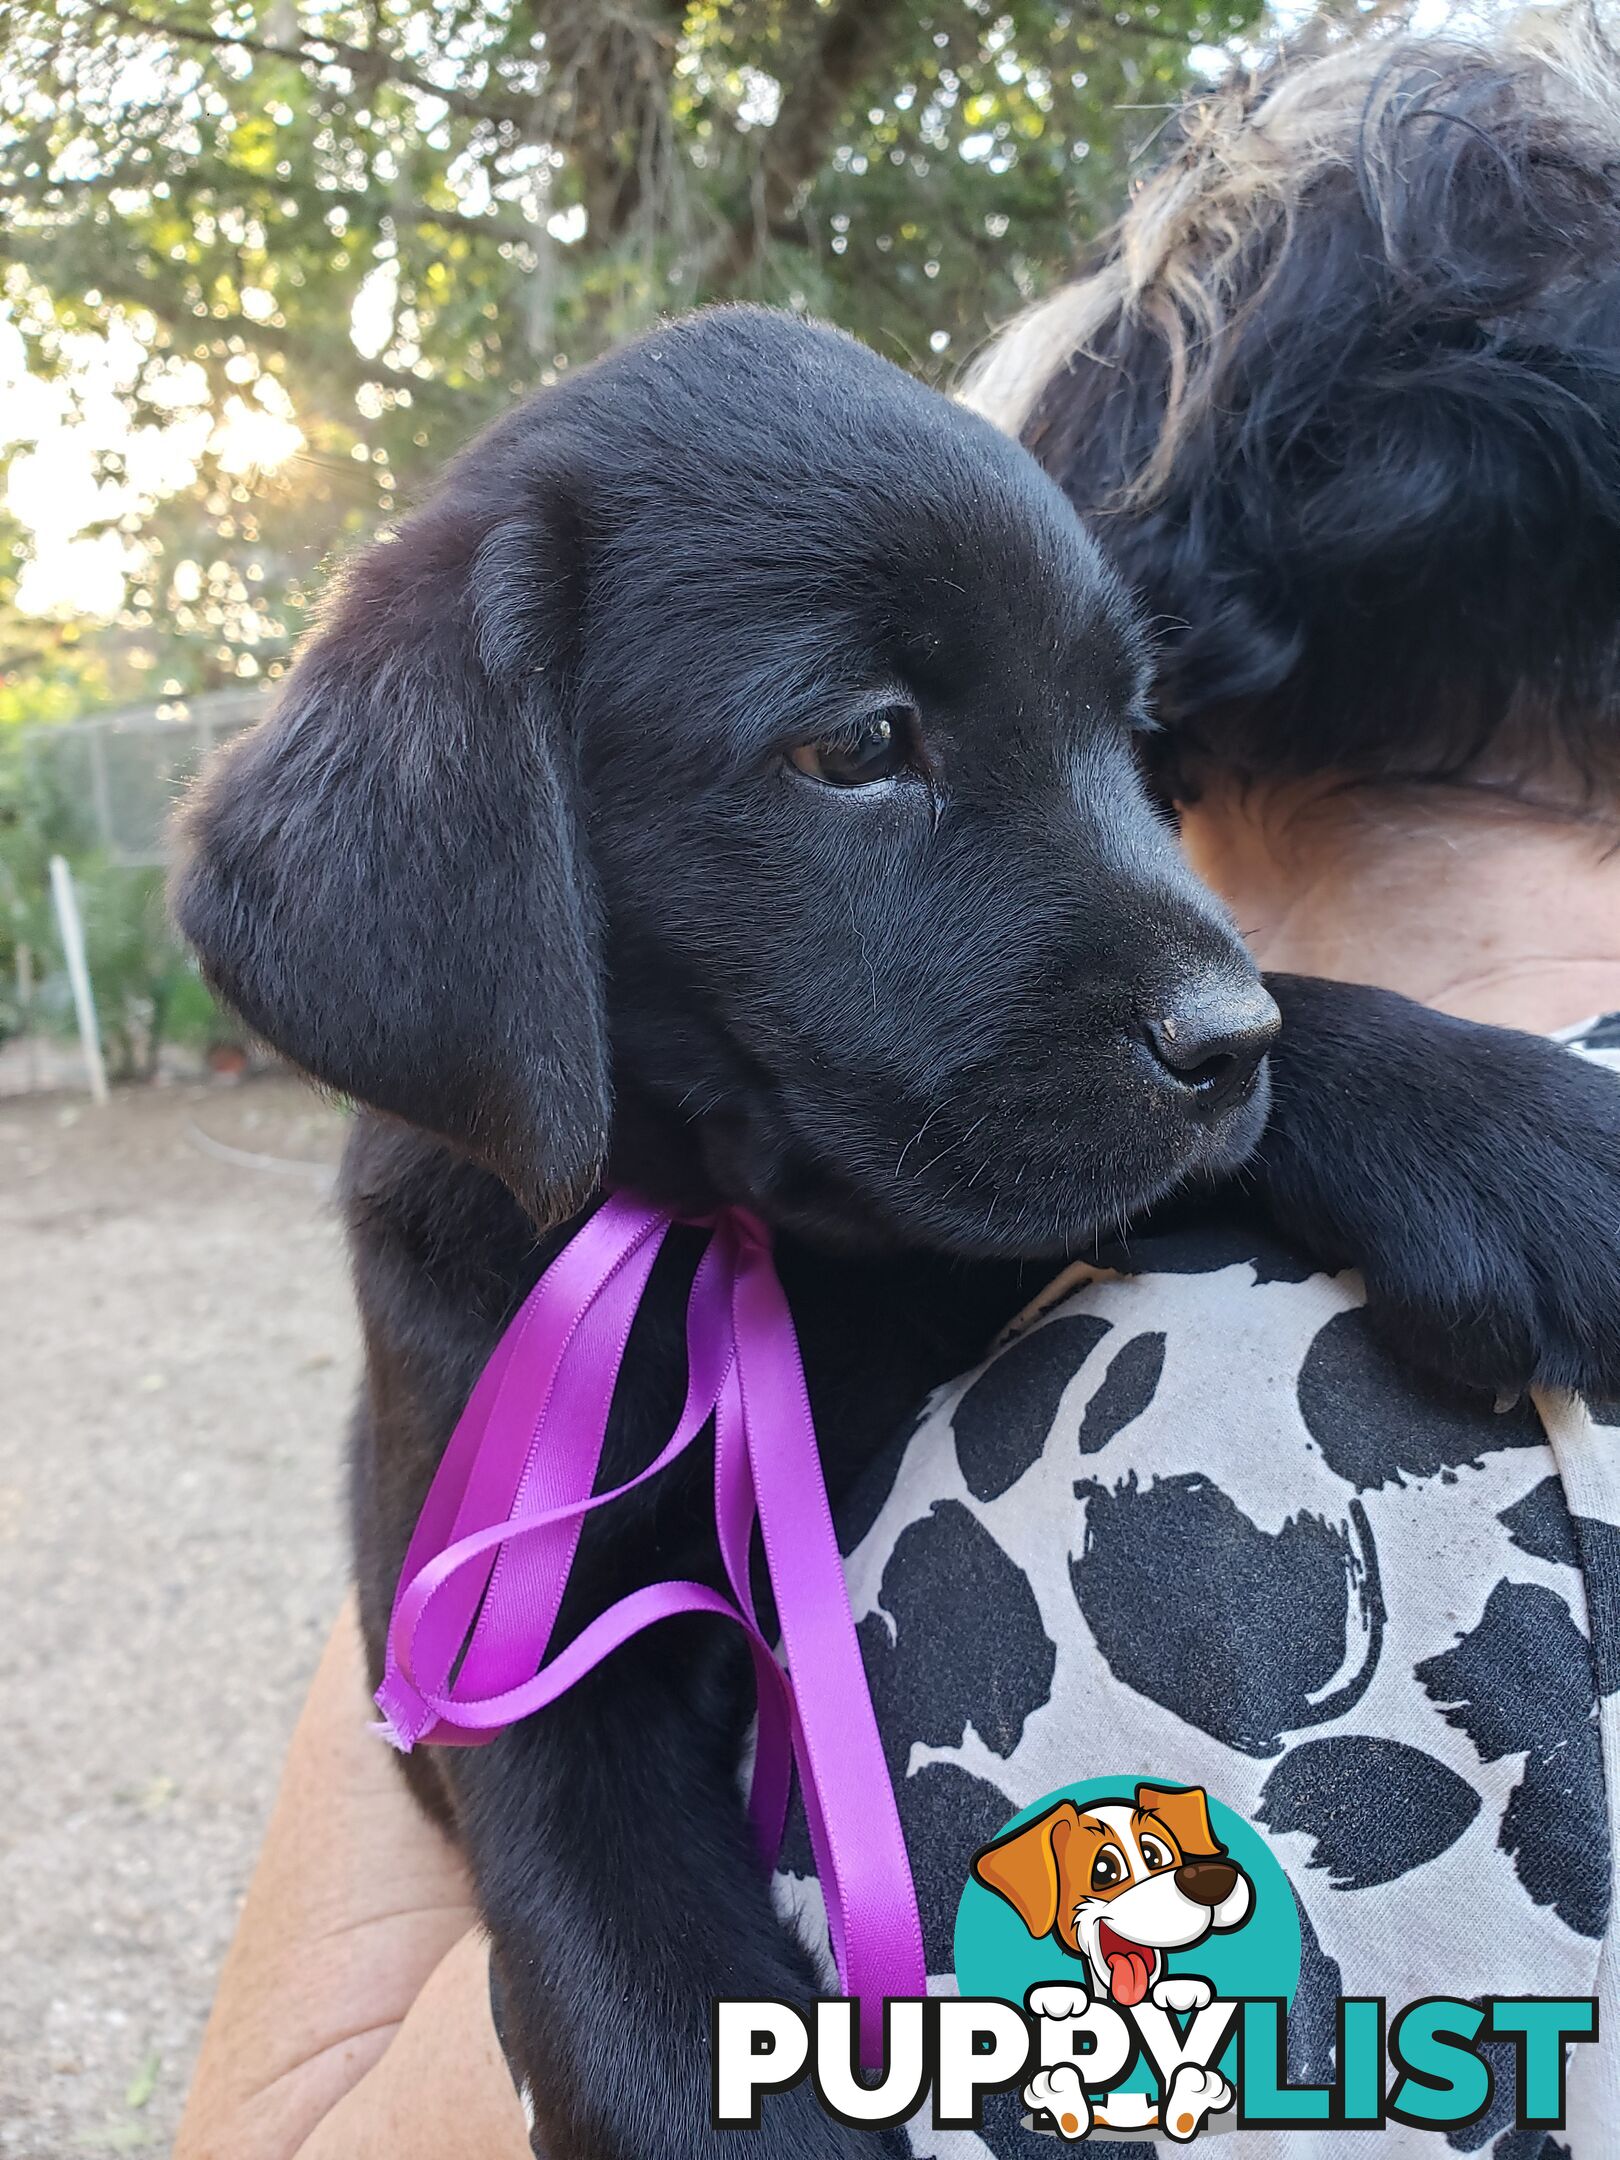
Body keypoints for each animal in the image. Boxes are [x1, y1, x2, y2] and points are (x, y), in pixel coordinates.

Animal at [171, 308, 1620, 2160]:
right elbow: (630, 1989)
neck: (739, 1250)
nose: (1220, 1041)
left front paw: (1528, 1145)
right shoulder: (508, 1654)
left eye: (1135, 736)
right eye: (861, 746)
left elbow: (1275, 1069)